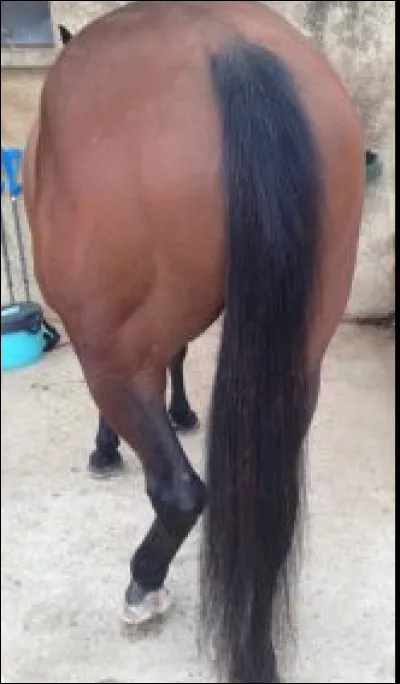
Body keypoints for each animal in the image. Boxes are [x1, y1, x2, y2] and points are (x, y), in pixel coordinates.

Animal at [22, 2, 365, 682]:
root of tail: (228, 50)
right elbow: (180, 353)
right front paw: (182, 413)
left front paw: (107, 450)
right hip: (299, 357)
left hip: (112, 356)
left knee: (179, 491)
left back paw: (144, 583)